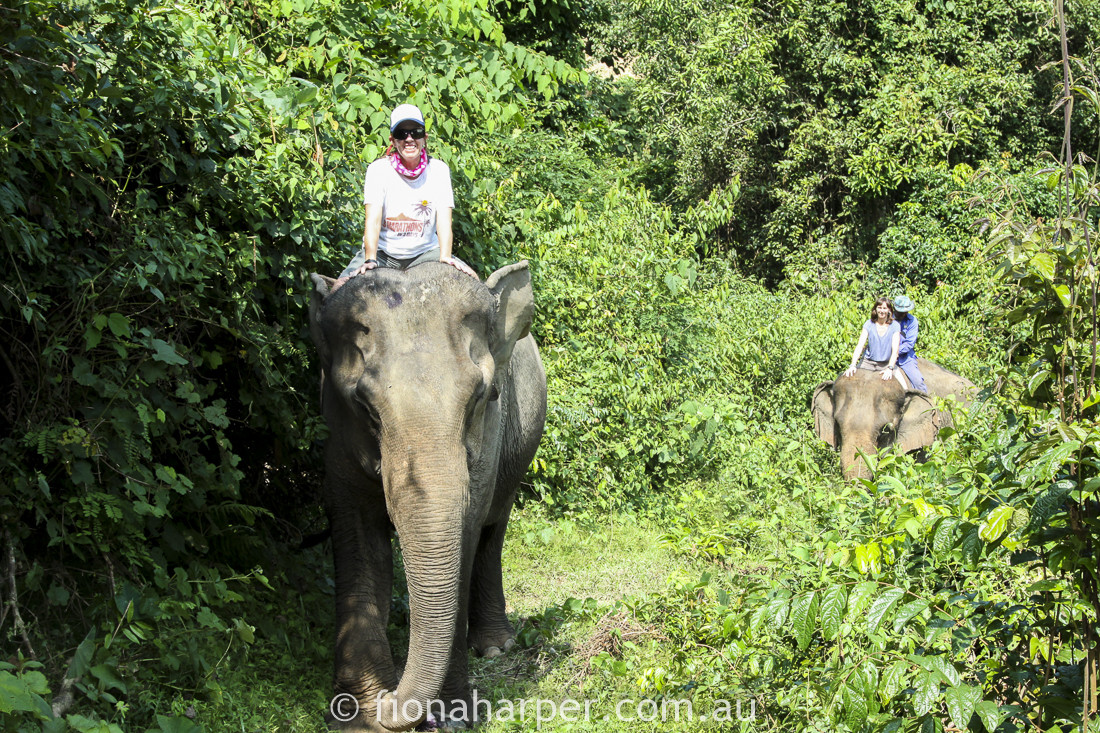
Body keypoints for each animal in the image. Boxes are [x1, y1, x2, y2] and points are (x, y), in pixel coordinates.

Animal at [308, 259, 547, 726]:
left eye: (480, 397)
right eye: (365, 406)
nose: (391, 698)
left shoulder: (490, 437)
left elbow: (466, 534)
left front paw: (453, 717)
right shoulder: (337, 434)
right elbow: (357, 537)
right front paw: (358, 716)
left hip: (520, 444)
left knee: (494, 528)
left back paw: (496, 646)